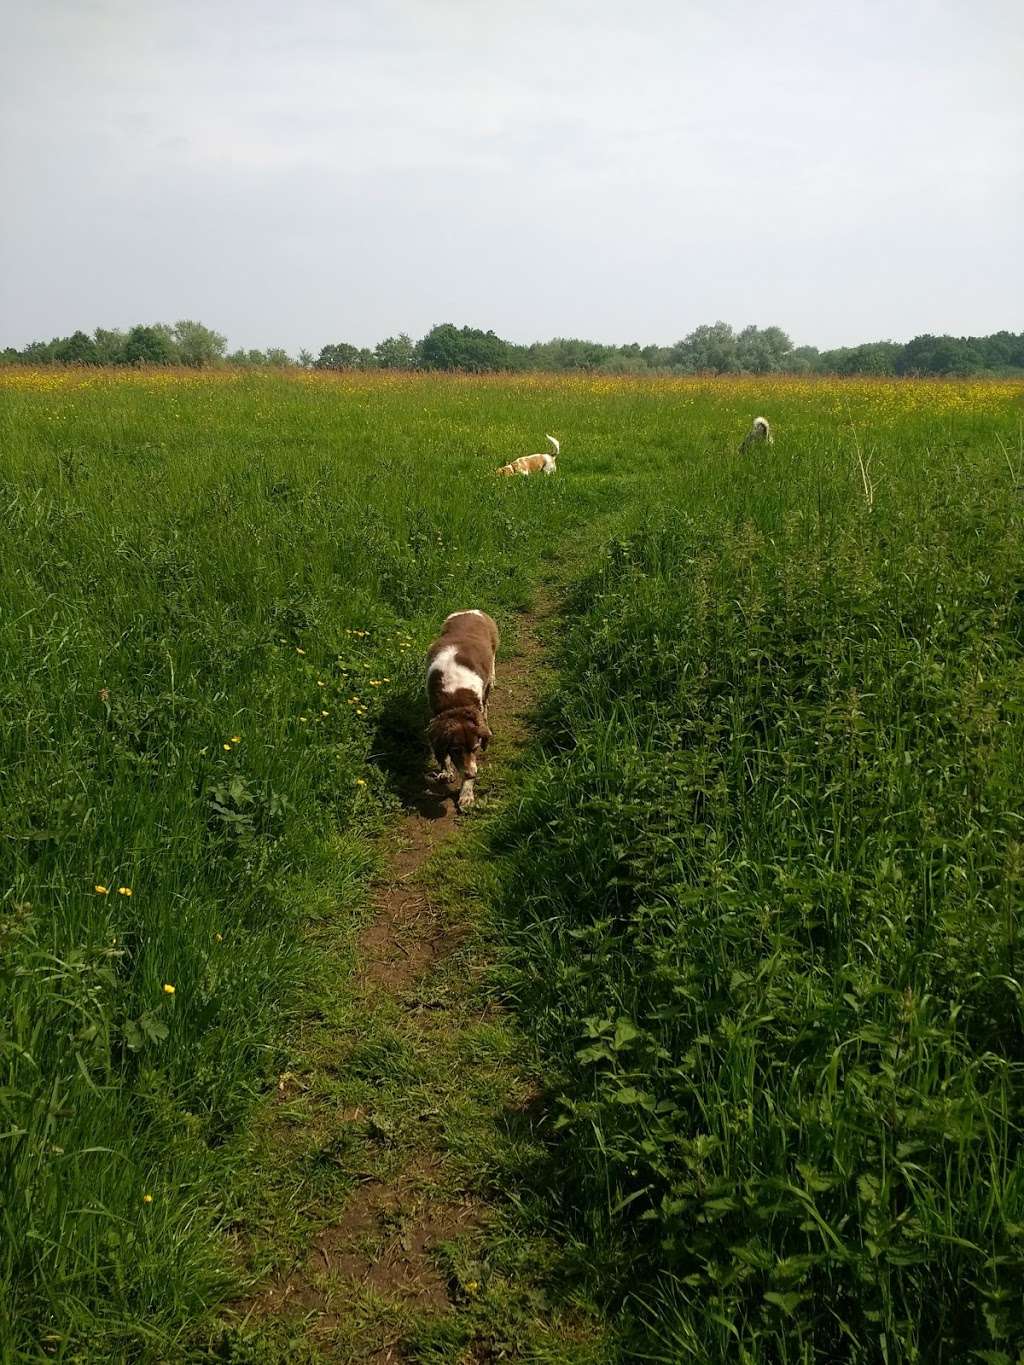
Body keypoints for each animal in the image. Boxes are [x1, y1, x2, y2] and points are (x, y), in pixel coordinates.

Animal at [425, 611, 499, 808]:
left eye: (475, 748)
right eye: (456, 750)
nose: (472, 774)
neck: (456, 699)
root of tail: (472, 610)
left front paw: (466, 793)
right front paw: (446, 771)